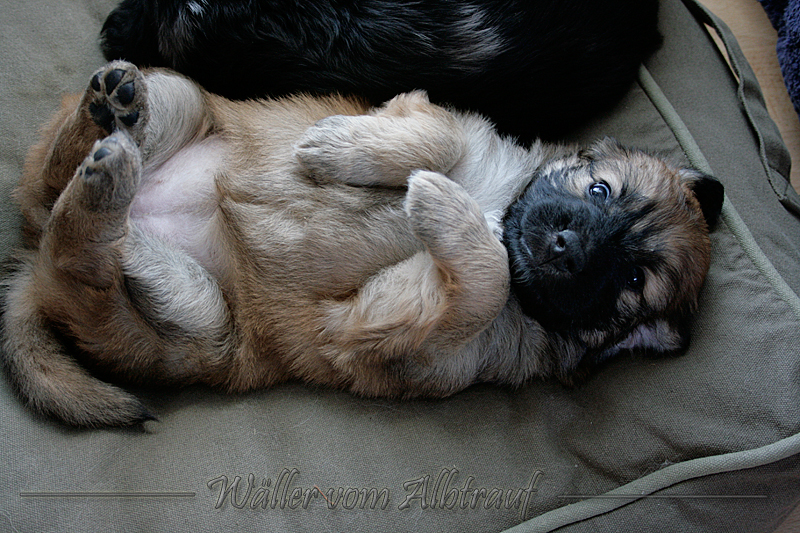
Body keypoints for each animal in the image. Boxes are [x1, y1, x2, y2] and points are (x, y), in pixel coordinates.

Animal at [1, 62, 722, 427]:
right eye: (601, 190)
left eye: (632, 282)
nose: (568, 246)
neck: (499, 207)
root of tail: (26, 257)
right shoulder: (431, 113)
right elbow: (439, 141)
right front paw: (340, 151)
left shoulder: (385, 331)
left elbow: (486, 280)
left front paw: (442, 209)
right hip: (181, 95)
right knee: (56, 178)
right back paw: (109, 108)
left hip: (195, 330)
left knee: (82, 255)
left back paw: (117, 214)